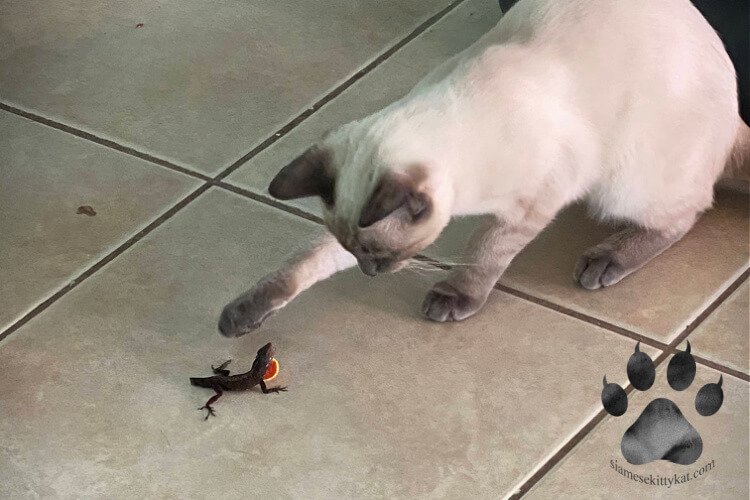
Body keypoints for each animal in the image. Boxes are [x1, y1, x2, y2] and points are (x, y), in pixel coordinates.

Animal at [216, 0, 748, 338]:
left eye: (378, 255)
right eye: (357, 253)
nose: (369, 273)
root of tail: (736, 108)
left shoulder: (530, 206)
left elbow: (485, 250)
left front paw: (456, 296)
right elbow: (305, 262)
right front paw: (242, 316)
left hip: (624, 185)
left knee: (687, 214)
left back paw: (607, 260)